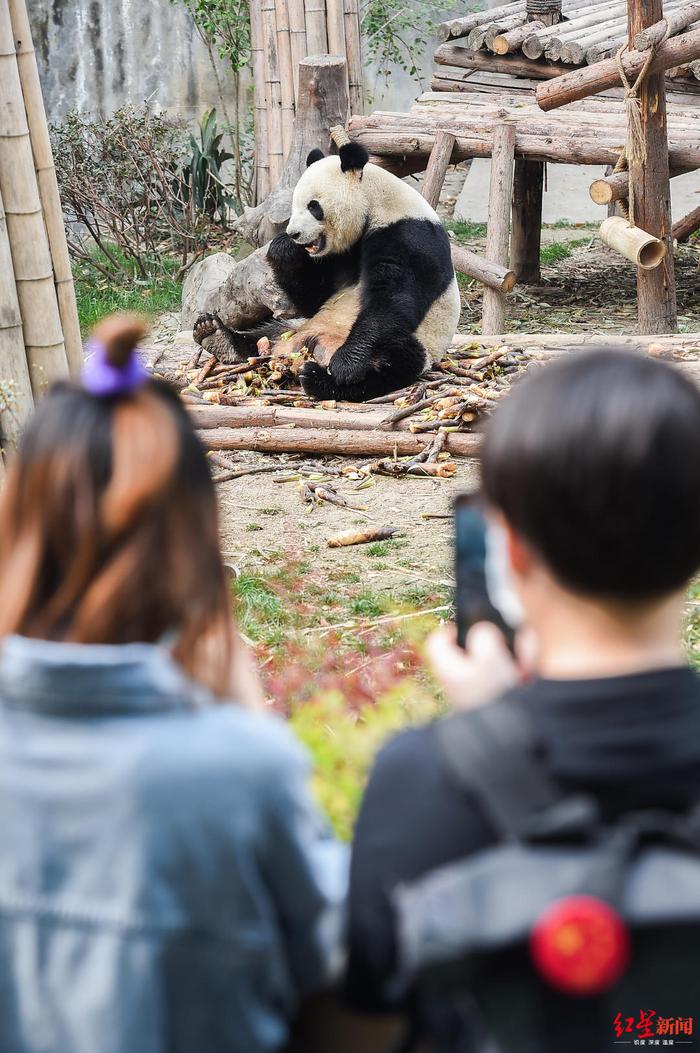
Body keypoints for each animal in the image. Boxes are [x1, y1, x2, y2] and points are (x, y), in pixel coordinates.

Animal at [193, 140, 461, 402]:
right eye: (294, 206)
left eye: (314, 207)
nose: (294, 234)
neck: (376, 202)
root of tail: (315, 346)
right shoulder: (335, 256)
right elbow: (313, 299)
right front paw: (284, 249)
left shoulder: (408, 236)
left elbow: (393, 299)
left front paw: (346, 364)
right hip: (296, 329)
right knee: (266, 334)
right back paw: (216, 335)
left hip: (421, 342)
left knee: (394, 360)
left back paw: (323, 380)